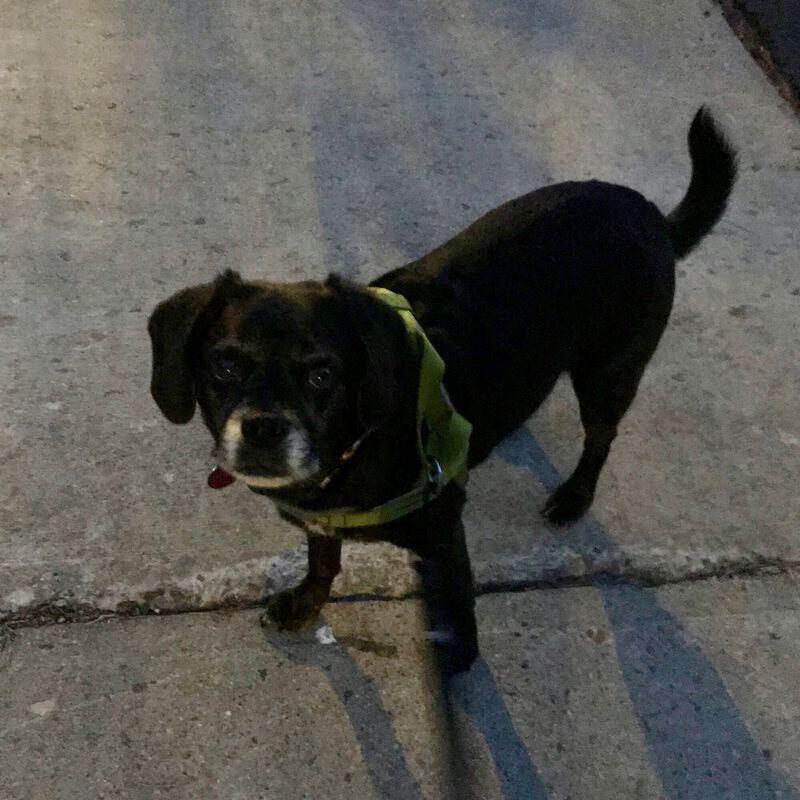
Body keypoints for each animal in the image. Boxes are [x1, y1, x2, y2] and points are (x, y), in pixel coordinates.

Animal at [147, 106, 736, 668]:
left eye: (322, 375)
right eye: (223, 367)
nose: (264, 429)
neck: (356, 447)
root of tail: (651, 215)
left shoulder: (445, 532)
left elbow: (457, 603)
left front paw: (456, 658)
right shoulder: (324, 524)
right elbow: (323, 564)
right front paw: (305, 603)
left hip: (609, 374)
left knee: (601, 436)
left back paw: (575, 495)